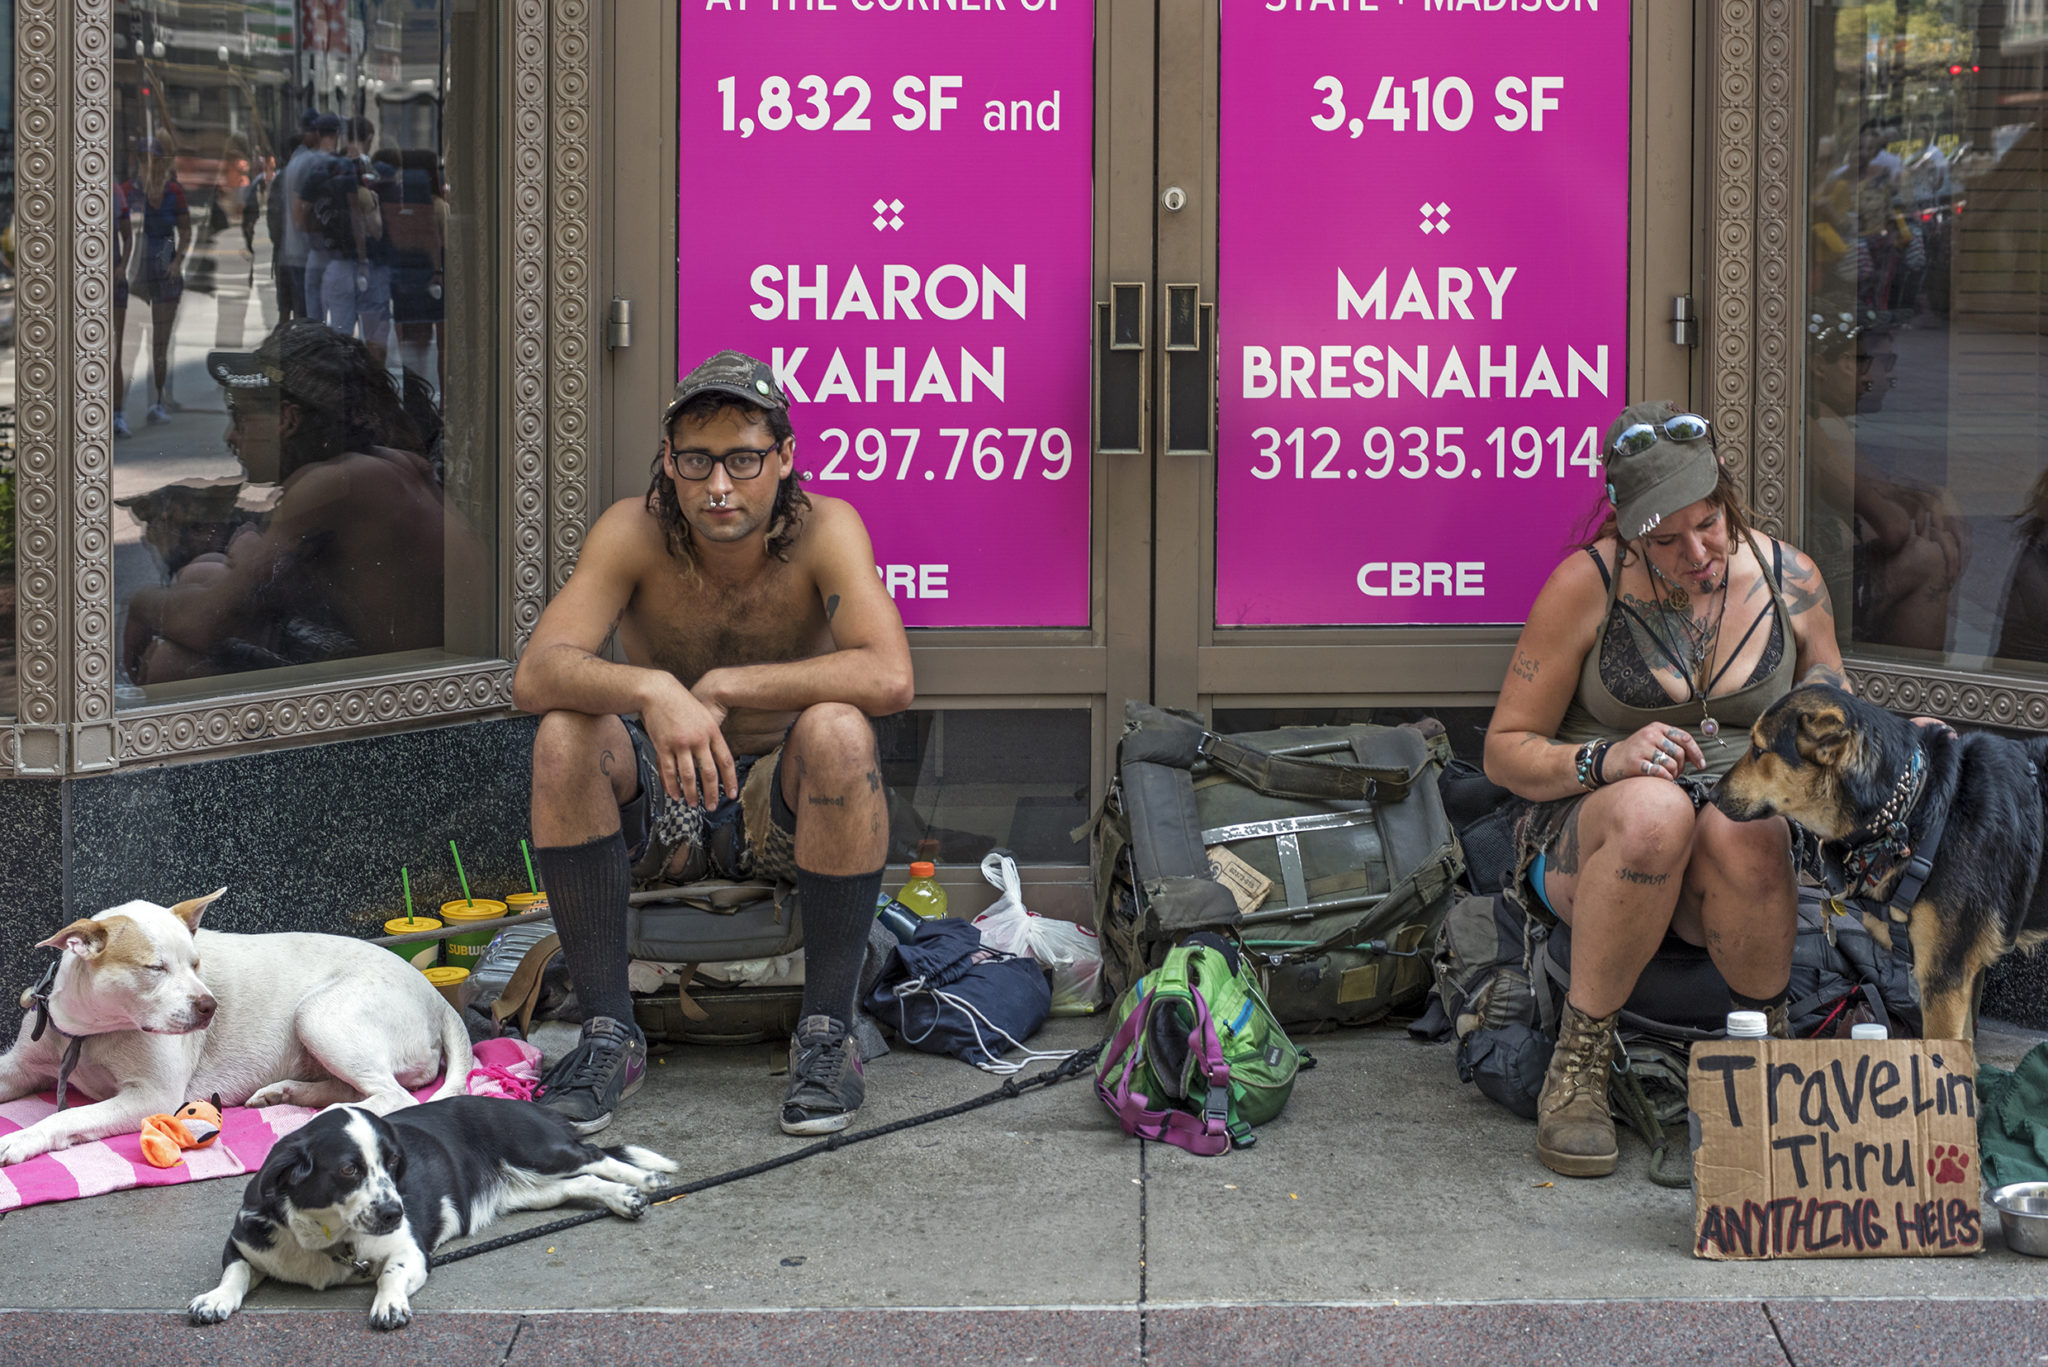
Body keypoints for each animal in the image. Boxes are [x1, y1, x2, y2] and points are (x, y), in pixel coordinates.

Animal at [0, 893, 475, 1172]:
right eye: (155, 968)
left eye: (196, 964)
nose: (210, 1006)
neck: (87, 1032)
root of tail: (436, 999)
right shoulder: (20, 1067)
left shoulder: (151, 1098)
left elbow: (66, 1116)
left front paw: (21, 1139)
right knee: (357, 1089)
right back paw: (286, 1094)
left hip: (319, 1014)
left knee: (394, 1095)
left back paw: (315, 1120)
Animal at [187, 1098, 679, 1328]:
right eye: (349, 1169)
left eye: (393, 1163)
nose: (393, 1211)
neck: (326, 1238)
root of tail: (526, 1104)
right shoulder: (242, 1244)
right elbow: (235, 1273)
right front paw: (216, 1299)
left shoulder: (411, 1251)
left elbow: (389, 1273)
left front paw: (388, 1303)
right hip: (533, 1189)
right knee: (583, 1183)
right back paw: (623, 1199)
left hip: (541, 1151)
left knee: (597, 1156)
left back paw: (645, 1181)